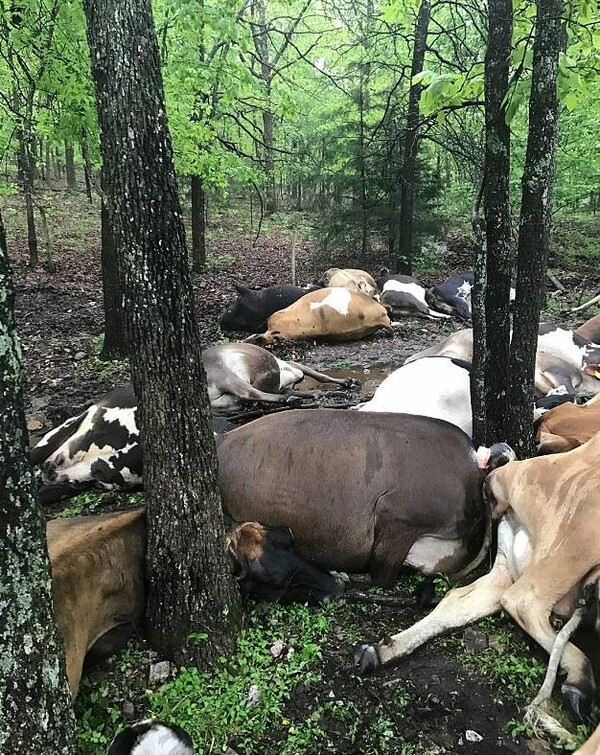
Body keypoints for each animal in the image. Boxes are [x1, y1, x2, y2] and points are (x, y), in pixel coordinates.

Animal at [358, 432, 600, 720]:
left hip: (507, 569)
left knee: (458, 600)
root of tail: (502, 475)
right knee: (524, 601)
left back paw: (381, 650)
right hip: (574, 540)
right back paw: (580, 682)